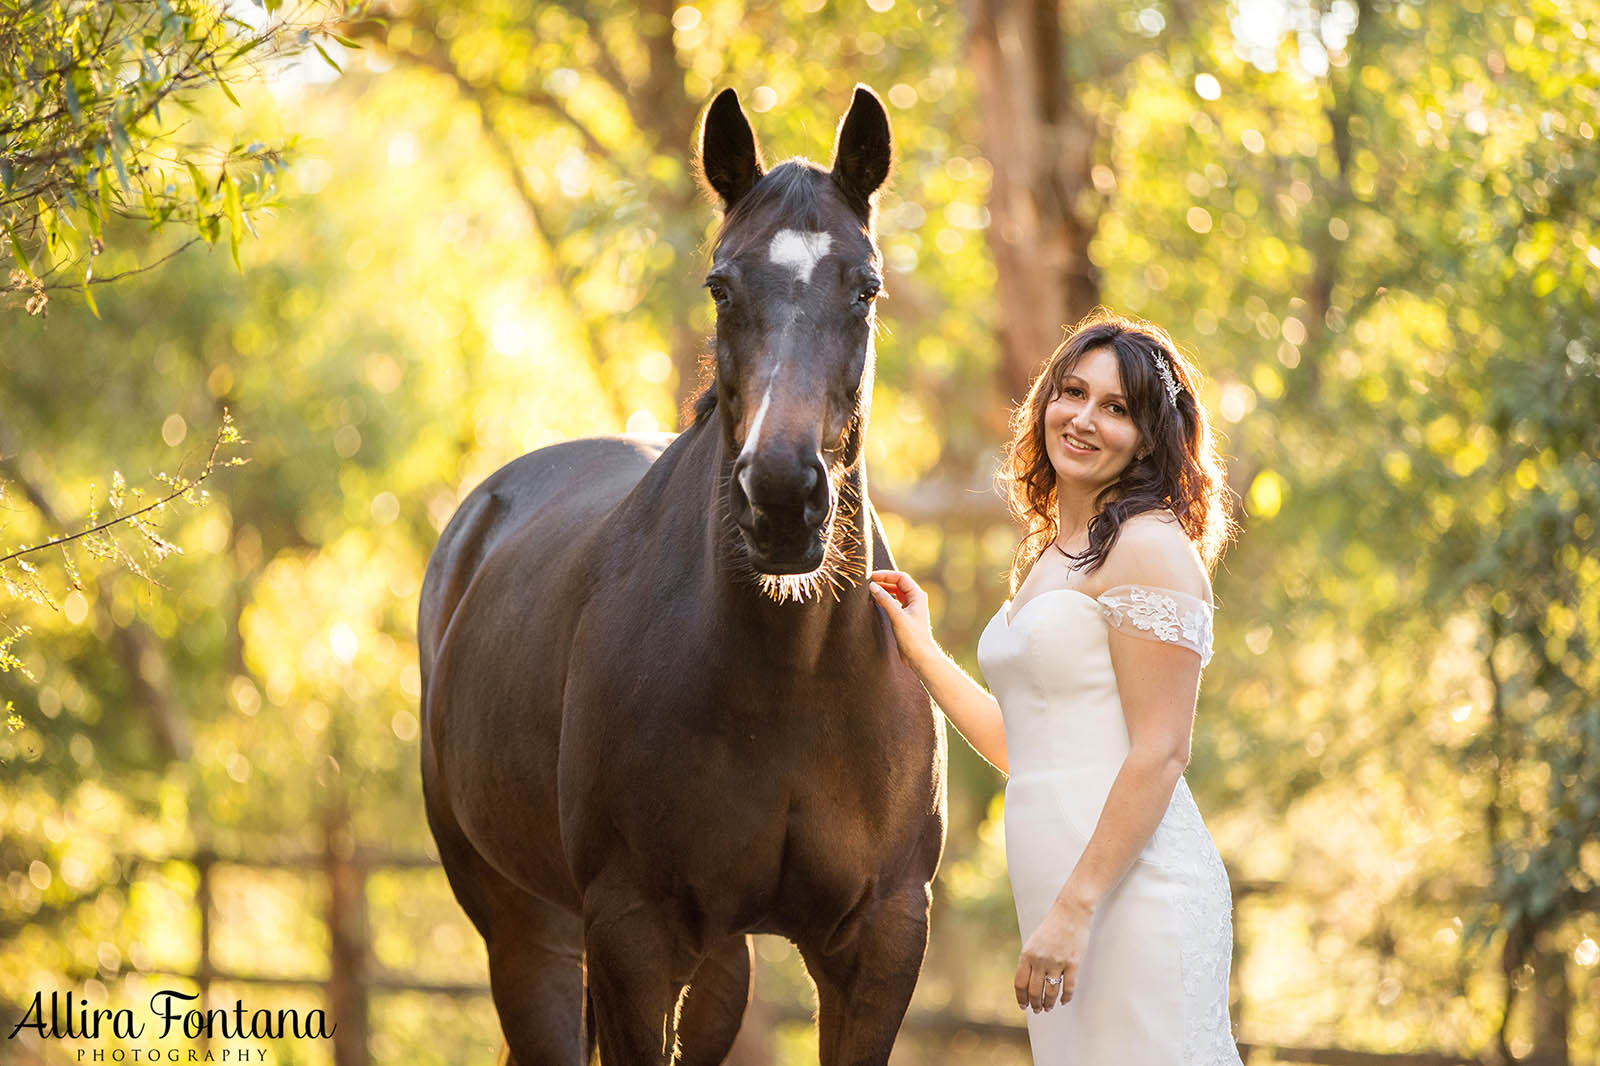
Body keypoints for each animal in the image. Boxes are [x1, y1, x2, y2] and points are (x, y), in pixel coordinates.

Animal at [416, 85, 947, 1062]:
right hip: (528, 929)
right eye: (721, 286)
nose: (781, 498)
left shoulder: (883, 936)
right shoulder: (632, 931)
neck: (792, 678)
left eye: (866, 288)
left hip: (718, 959)